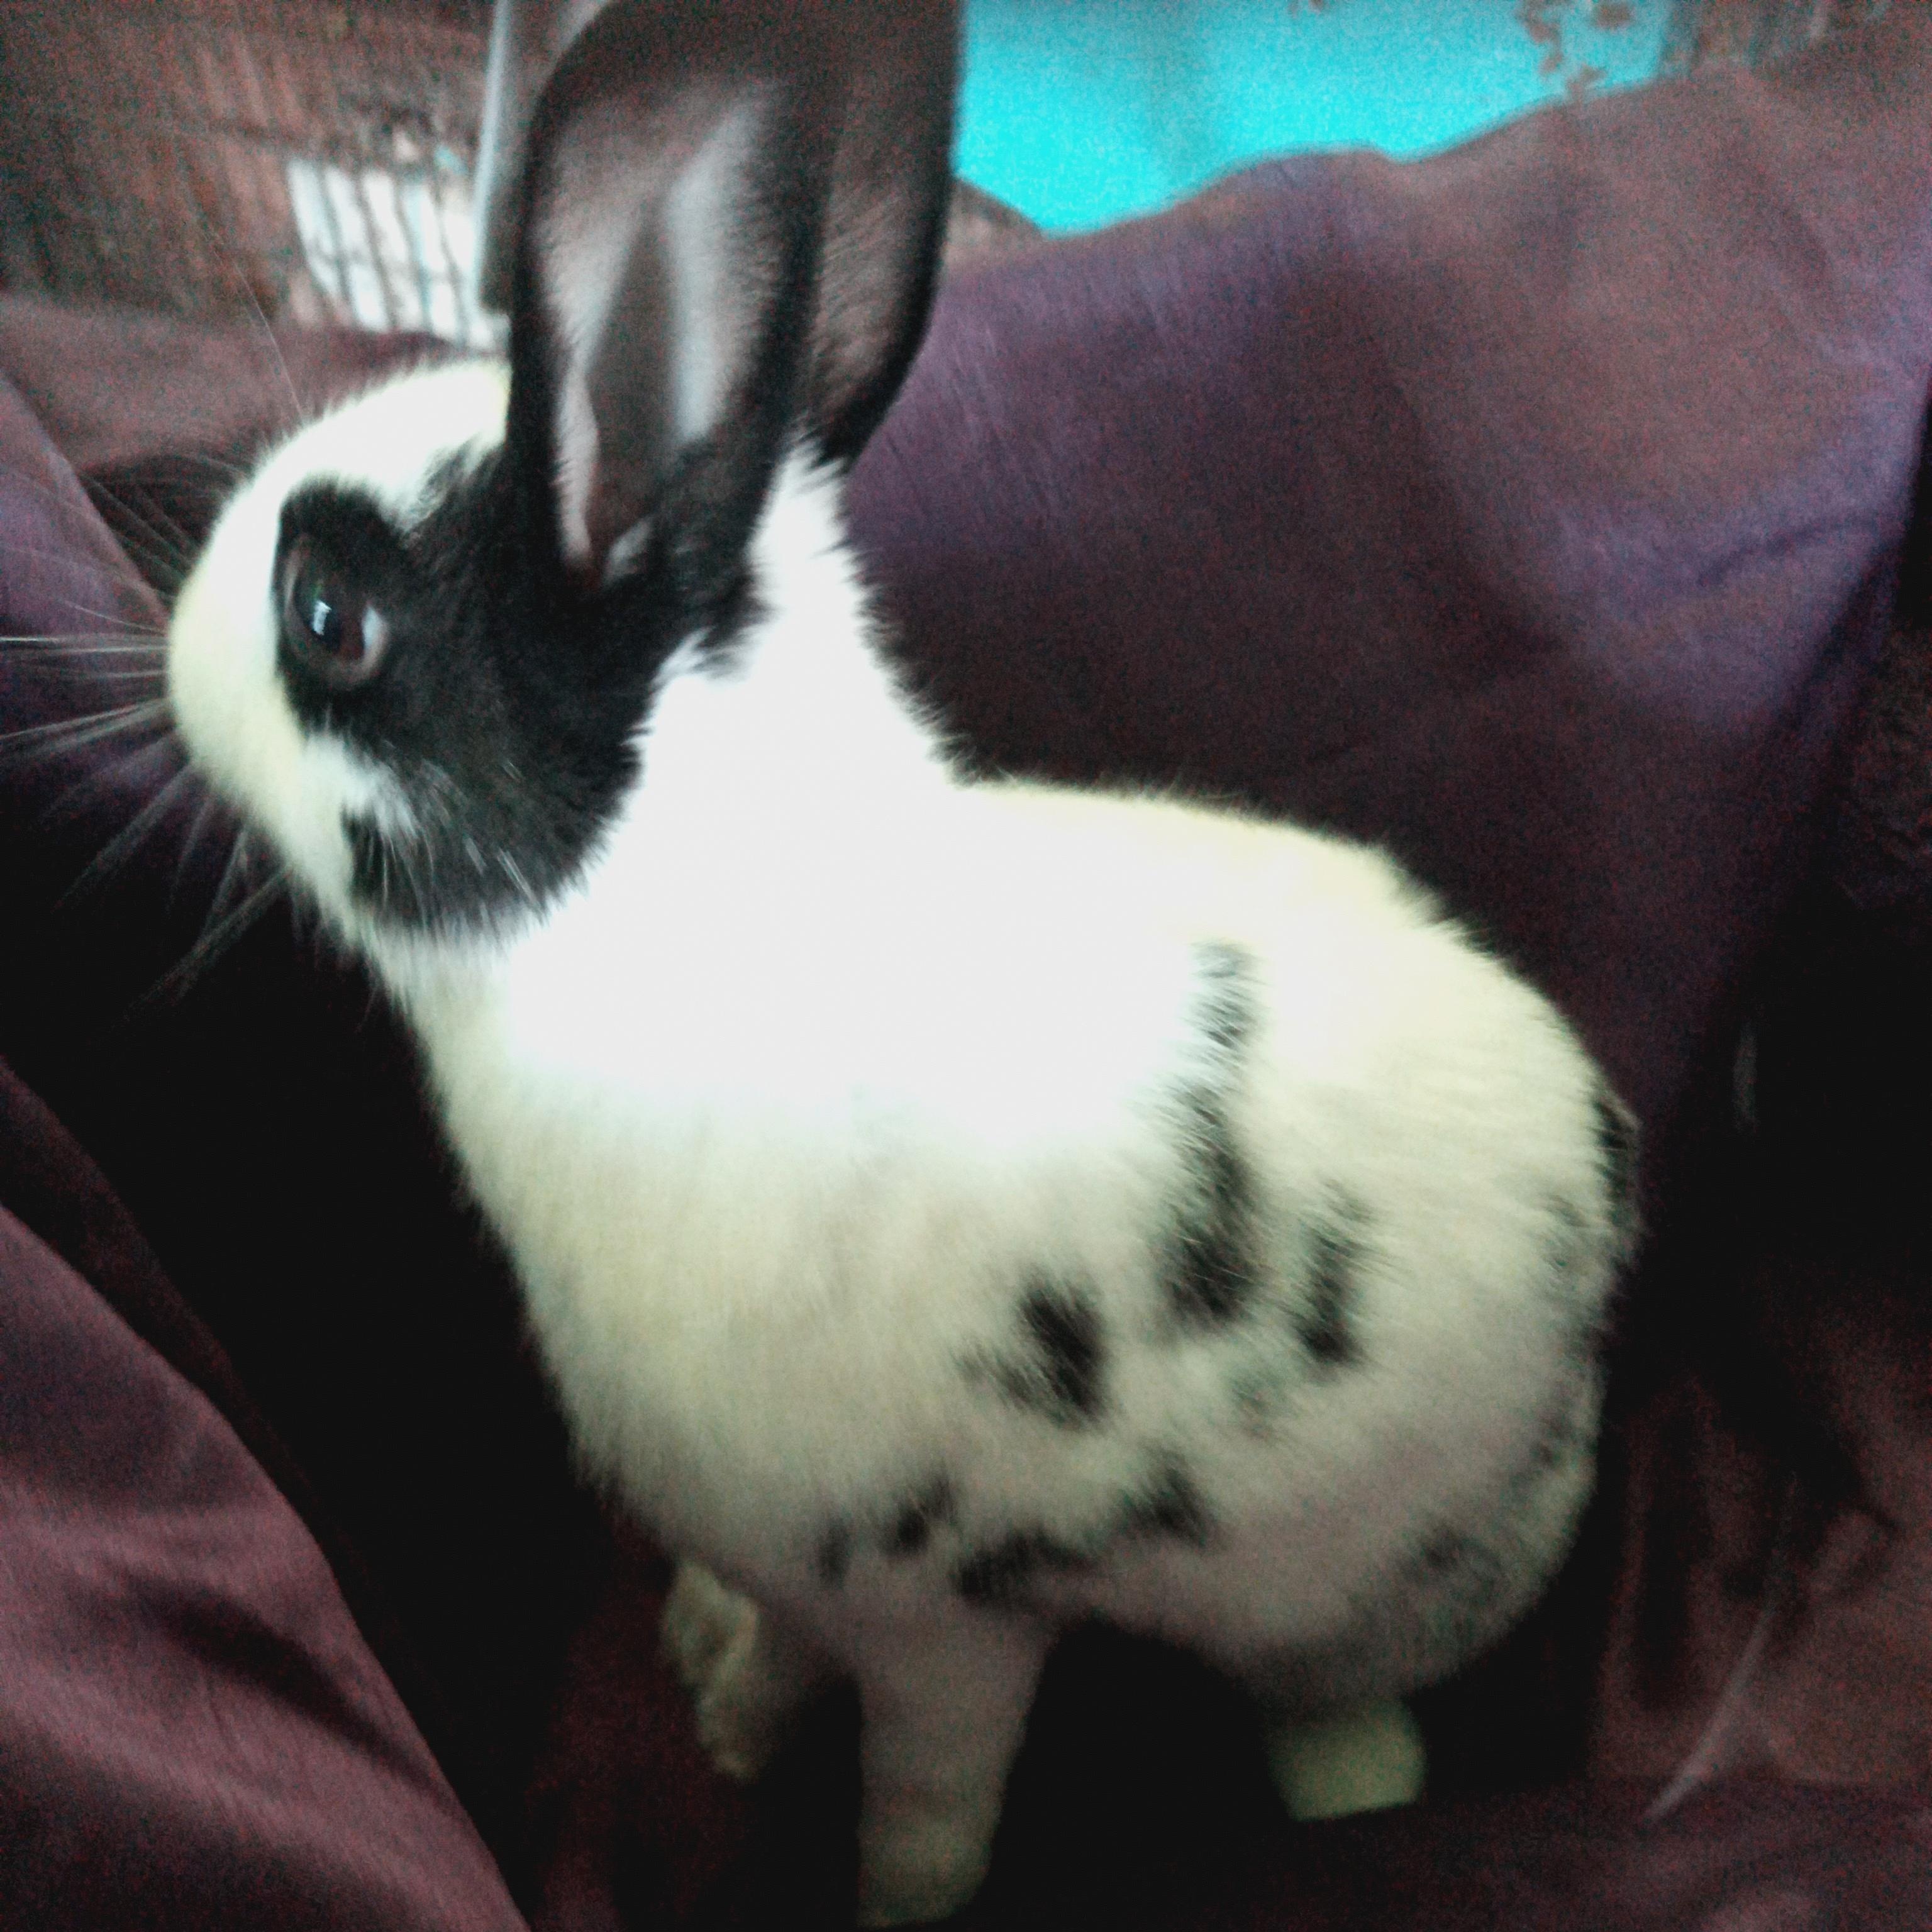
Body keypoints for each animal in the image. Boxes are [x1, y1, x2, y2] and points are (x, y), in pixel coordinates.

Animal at [164, 2, 1638, 1921]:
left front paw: (873, 1894)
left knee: (1347, 1734)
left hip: (1344, 1600)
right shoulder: (809, 1578)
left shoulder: (950, 1629)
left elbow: (925, 1811)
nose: (173, 644)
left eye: (327, 616)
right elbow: (791, 1664)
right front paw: (730, 1729)